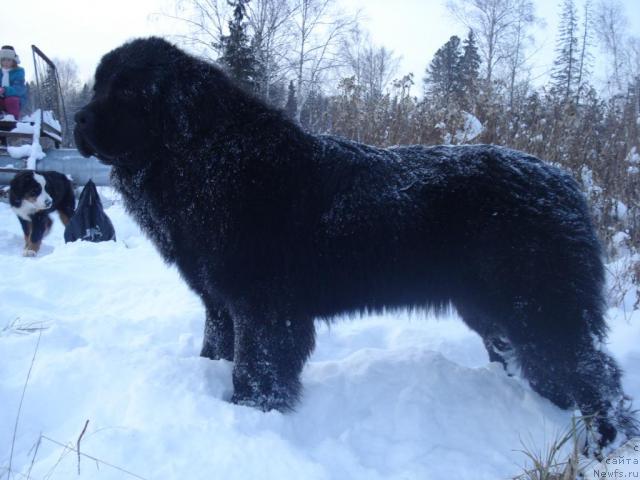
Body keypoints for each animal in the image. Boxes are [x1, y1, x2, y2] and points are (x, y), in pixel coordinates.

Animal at [74, 38, 636, 454]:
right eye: (100, 85)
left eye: (128, 91)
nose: (79, 118)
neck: (207, 162)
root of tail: (565, 184)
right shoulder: (219, 302)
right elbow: (217, 348)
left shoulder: (264, 308)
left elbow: (257, 369)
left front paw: (249, 414)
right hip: (495, 312)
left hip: (539, 306)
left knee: (595, 372)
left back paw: (602, 445)